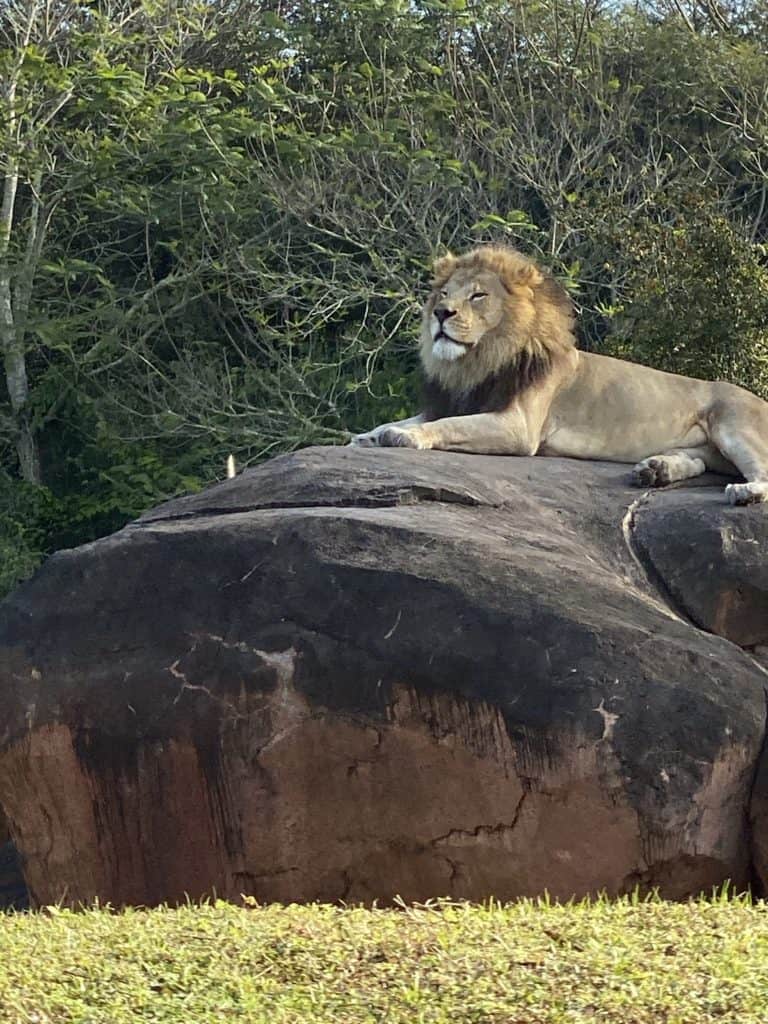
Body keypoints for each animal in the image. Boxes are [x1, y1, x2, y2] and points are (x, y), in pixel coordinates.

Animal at [350, 245, 768, 505]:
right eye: (443, 293)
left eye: (478, 296)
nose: (441, 314)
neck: (479, 359)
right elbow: (416, 418)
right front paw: (367, 437)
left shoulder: (519, 425)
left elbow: (449, 425)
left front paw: (406, 437)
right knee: (698, 461)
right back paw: (655, 471)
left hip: (733, 425)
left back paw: (744, 492)